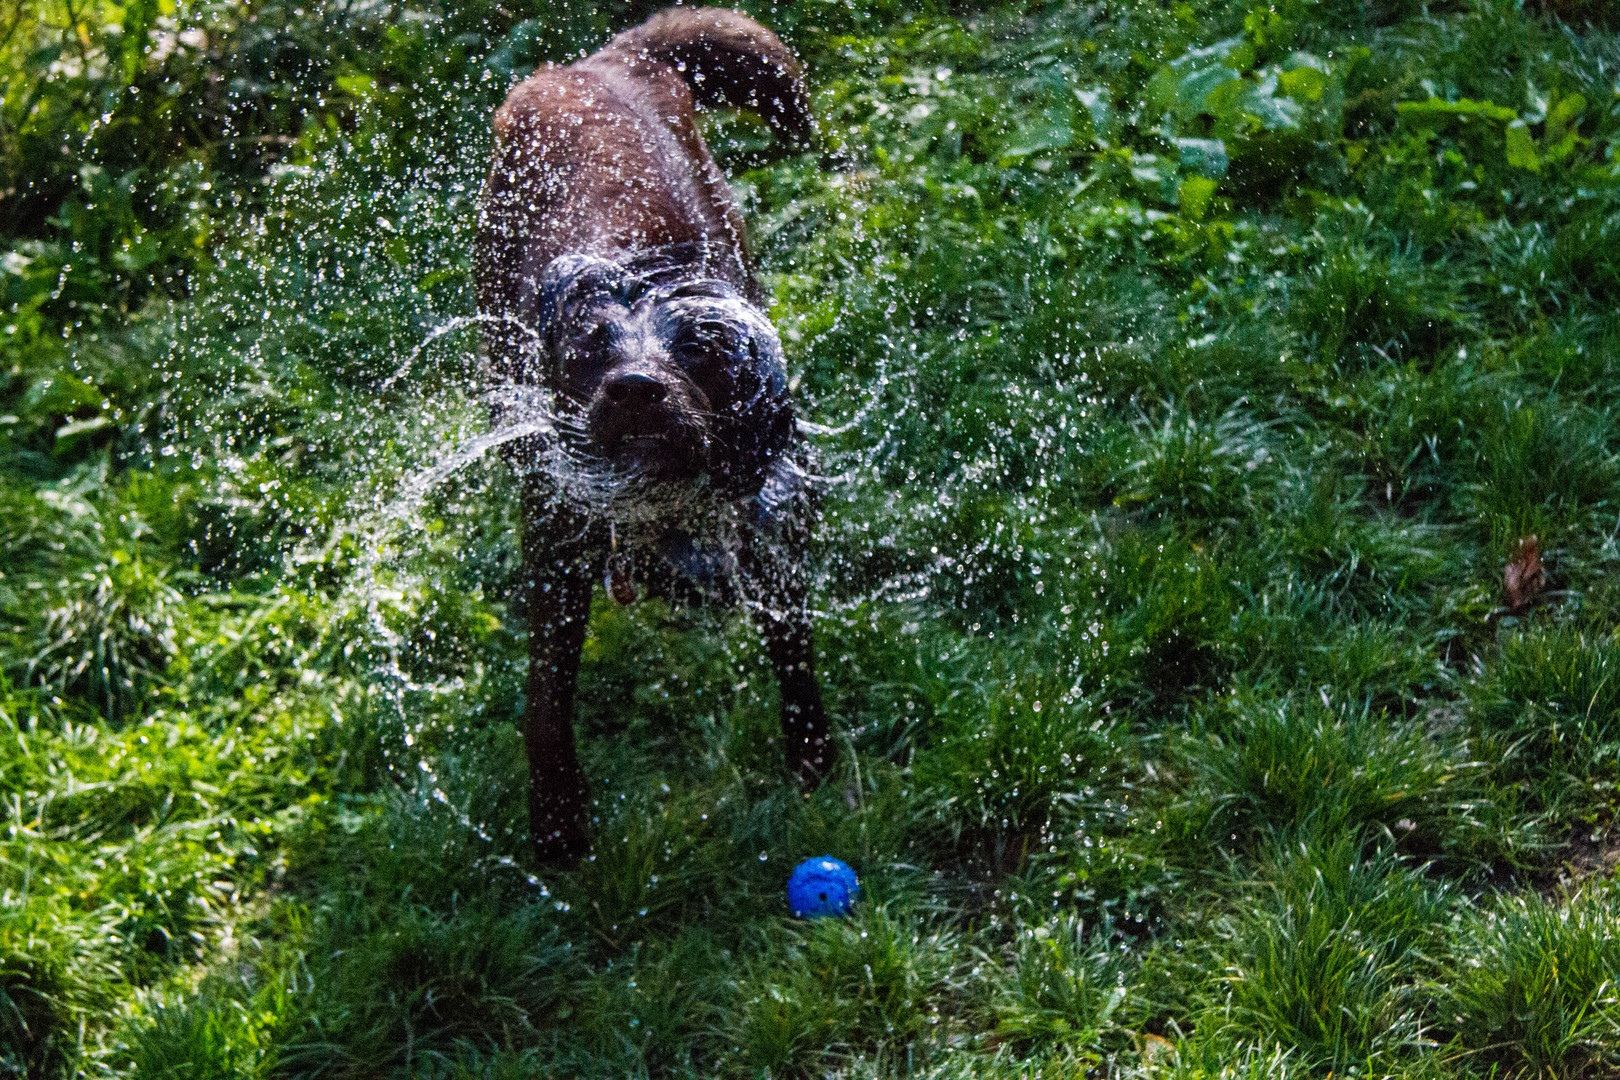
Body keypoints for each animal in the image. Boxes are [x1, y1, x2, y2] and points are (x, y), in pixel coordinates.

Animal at [473, 6, 829, 861]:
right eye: (592, 346)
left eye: (698, 350)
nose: (635, 388)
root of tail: (595, 62)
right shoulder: (557, 538)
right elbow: (547, 695)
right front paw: (558, 818)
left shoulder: (769, 515)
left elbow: (791, 644)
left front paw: (812, 756)